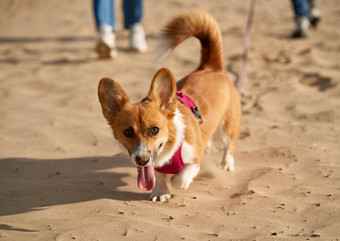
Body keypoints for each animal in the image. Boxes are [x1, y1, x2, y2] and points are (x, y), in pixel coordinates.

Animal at [97, 9, 242, 201]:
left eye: (155, 130)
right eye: (127, 132)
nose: (141, 160)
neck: (169, 148)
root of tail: (211, 67)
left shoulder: (194, 159)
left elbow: (180, 178)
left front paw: (177, 181)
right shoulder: (154, 166)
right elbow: (158, 177)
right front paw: (160, 193)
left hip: (228, 126)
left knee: (229, 145)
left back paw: (226, 164)